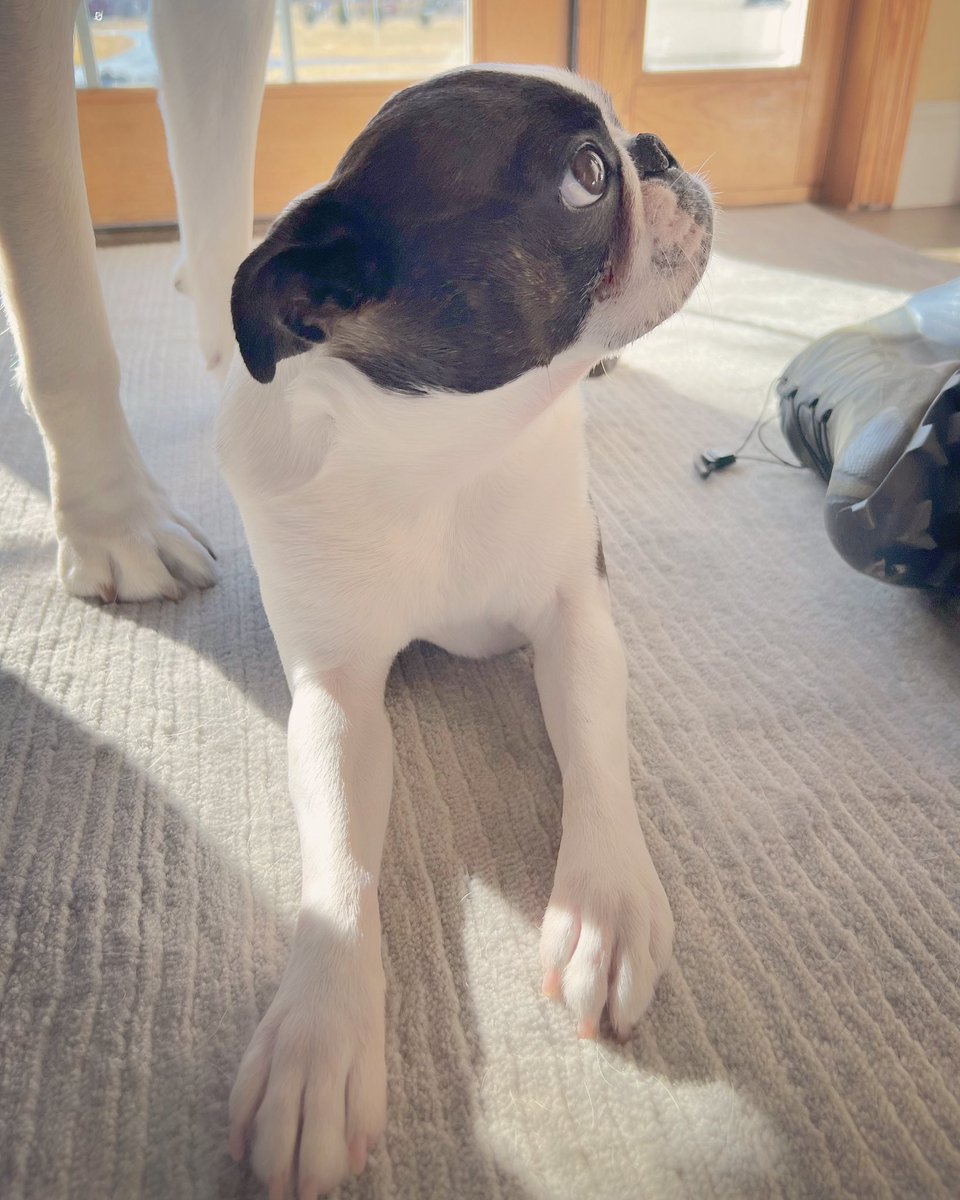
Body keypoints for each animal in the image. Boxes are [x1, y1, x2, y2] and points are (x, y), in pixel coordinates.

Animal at [219, 65, 710, 1200]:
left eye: (623, 144)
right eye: (588, 175)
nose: (658, 149)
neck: (444, 454)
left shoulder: (576, 613)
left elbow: (592, 747)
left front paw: (606, 907)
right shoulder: (337, 691)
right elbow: (339, 852)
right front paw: (318, 1037)